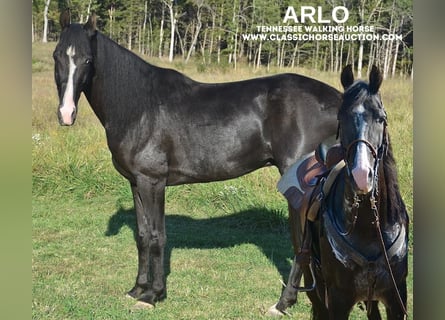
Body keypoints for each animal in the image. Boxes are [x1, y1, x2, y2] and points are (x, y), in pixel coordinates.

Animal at [53, 11, 342, 308]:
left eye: (88, 60)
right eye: (57, 56)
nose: (66, 114)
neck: (139, 107)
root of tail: (337, 98)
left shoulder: (153, 182)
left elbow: (157, 236)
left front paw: (153, 295)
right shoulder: (136, 183)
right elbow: (143, 236)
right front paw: (137, 289)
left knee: (302, 242)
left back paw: (283, 303)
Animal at [268, 64, 408, 318]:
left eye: (381, 118)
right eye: (340, 117)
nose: (361, 176)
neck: (369, 229)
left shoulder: (396, 297)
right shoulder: (338, 299)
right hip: (312, 276)